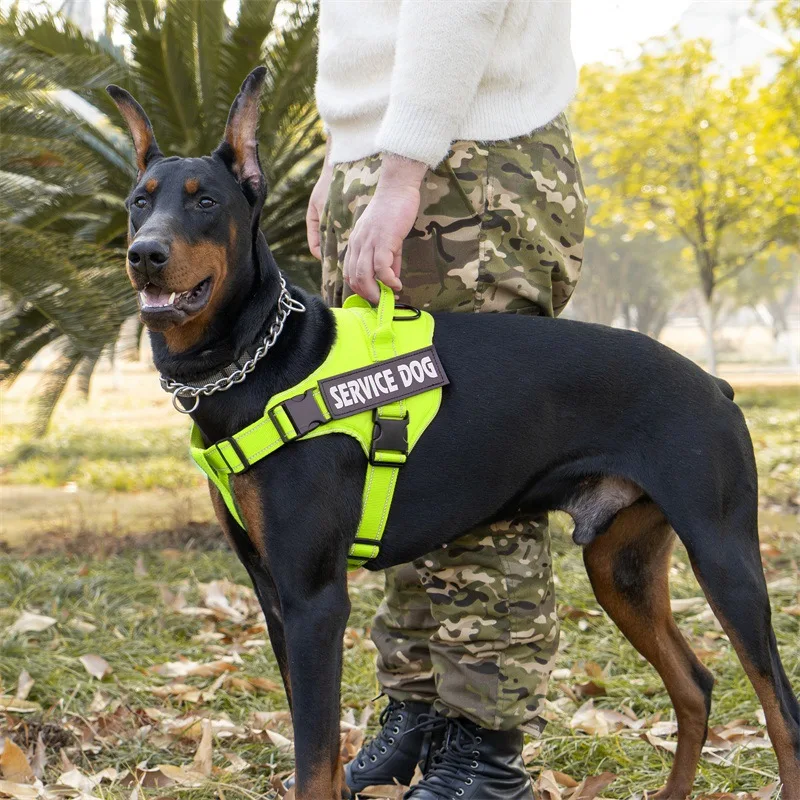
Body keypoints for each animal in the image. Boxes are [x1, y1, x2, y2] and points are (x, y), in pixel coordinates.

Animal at [108, 70, 800, 800]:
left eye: (206, 201)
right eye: (138, 202)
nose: (145, 254)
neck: (258, 361)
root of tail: (716, 384)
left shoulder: (314, 601)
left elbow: (313, 761)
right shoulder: (273, 595)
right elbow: (314, 747)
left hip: (723, 554)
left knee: (782, 713)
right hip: (621, 565)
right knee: (696, 684)